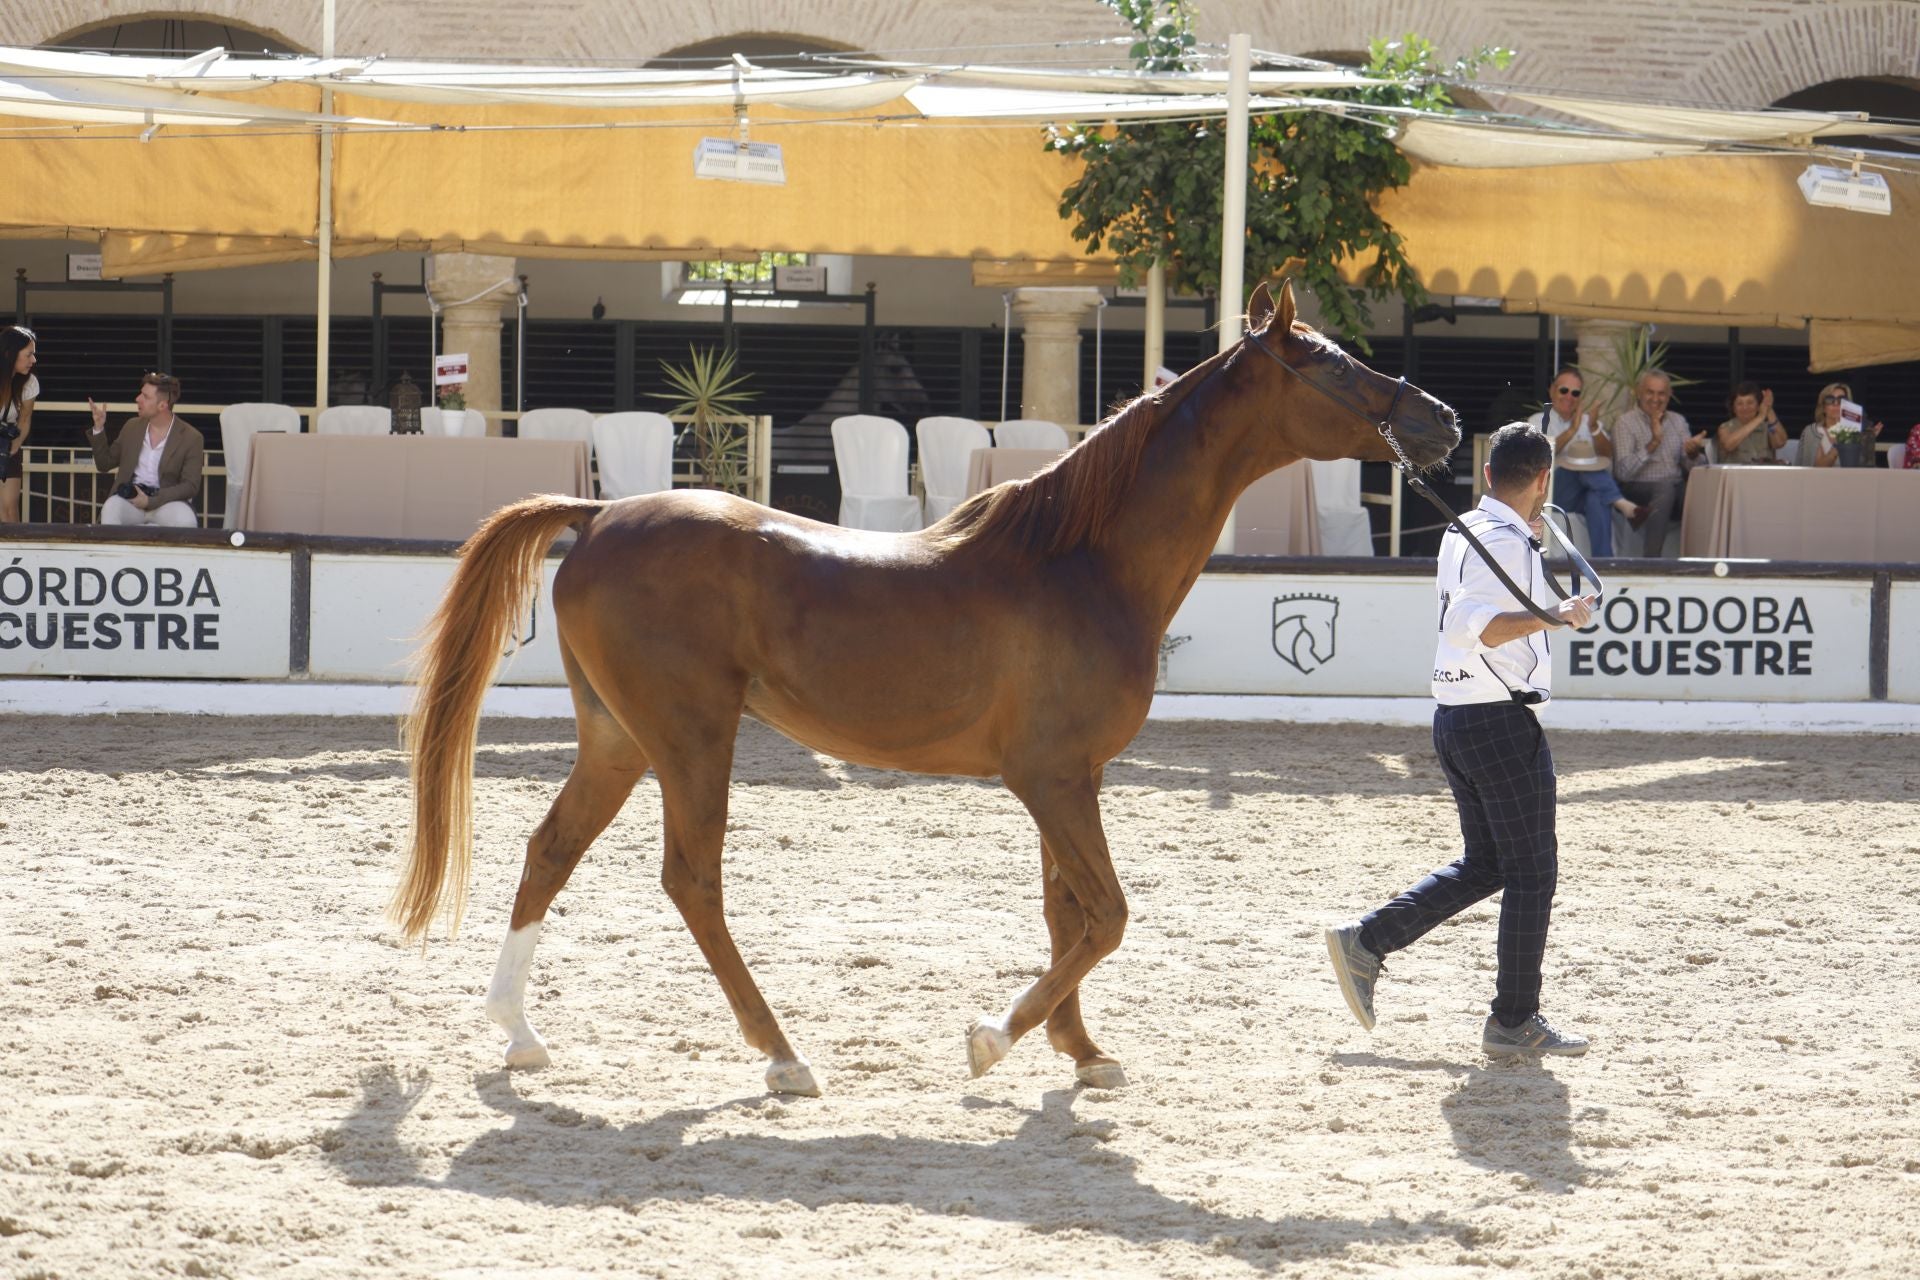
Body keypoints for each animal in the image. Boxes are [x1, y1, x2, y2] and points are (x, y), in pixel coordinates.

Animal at [392, 280, 1458, 1098]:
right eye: (1330, 364)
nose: (1440, 419)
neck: (1082, 562)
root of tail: (599, 514)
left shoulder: (1070, 779)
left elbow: (1068, 914)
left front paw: (1083, 1054)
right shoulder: (1051, 779)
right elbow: (1106, 915)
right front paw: (994, 1039)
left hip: (618, 739)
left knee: (550, 851)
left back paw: (521, 1035)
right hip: (690, 739)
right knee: (691, 880)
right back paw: (784, 1057)